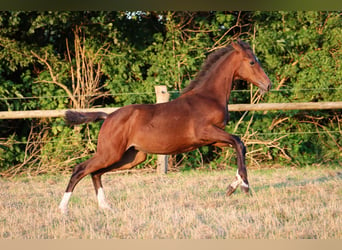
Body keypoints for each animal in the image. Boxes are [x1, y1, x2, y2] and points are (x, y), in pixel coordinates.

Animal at [59, 40, 272, 214]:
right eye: (252, 62)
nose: (268, 85)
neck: (208, 97)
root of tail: (108, 116)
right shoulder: (206, 132)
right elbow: (238, 142)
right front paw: (244, 185)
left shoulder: (213, 139)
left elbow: (239, 144)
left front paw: (231, 187)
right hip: (110, 153)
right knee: (80, 169)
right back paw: (63, 209)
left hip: (131, 157)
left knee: (96, 173)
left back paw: (105, 207)